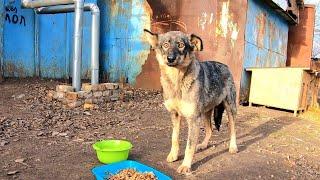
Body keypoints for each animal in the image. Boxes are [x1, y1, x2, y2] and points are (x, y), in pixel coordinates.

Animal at [144, 29, 238, 174]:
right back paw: (203, 145)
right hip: (205, 112)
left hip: (230, 108)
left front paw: (186, 165)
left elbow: (189, 145)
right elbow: (174, 138)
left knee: (232, 129)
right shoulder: (175, 114)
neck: (176, 80)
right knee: (210, 130)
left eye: (181, 45)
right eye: (165, 45)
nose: (170, 58)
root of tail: (225, 65)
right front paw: (173, 155)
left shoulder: (193, 118)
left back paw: (233, 147)